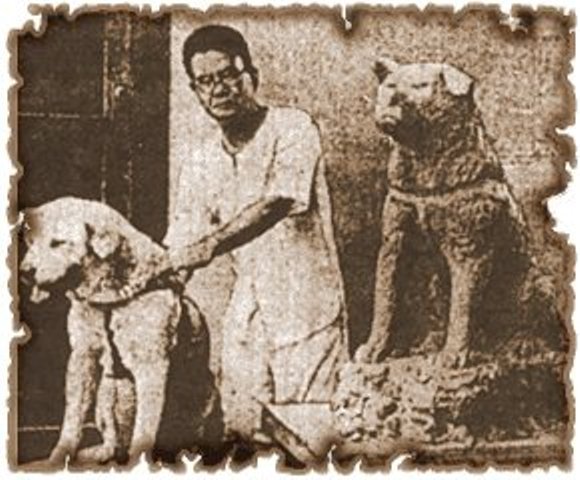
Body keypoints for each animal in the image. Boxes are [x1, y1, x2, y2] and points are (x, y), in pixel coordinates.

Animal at [20, 197, 219, 465]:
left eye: (58, 243)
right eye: (32, 242)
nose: (25, 272)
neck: (109, 298)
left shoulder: (152, 365)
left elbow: (145, 428)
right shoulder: (83, 357)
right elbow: (73, 416)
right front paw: (59, 457)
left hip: (205, 395)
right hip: (106, 393)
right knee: (114, 440)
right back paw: (100, 452)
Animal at [356, 58, 529, 368]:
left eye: (420, 85)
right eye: (390, 84)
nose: (390, 97)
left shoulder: (469, 247)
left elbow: (463, 305)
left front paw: (453, 355)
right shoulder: (395, 239)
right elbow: (386, 299)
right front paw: (375, 347)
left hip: (525, 285)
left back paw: (514, 347)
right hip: (435, 284)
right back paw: (428, 345)